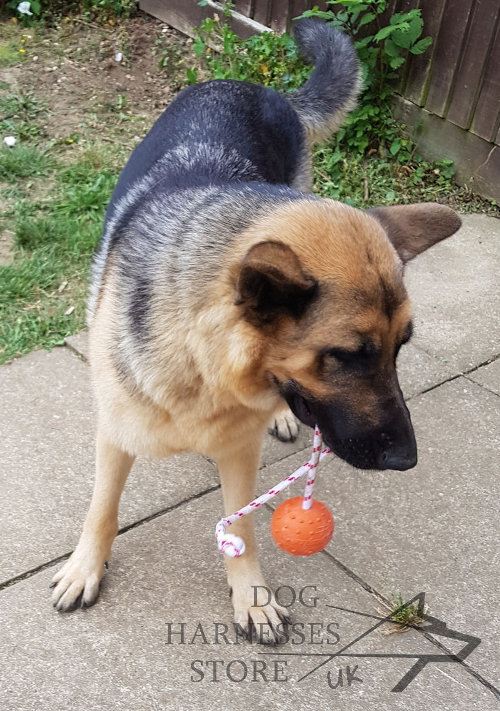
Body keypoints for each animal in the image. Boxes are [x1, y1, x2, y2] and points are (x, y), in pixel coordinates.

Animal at [50, 19, 460, 644]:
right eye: (346, 355)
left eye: (400, 348)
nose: (406, 460)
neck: (201, 360)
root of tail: (255, 87)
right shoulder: (116, 434)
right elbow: (103, 508)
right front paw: (84, 568)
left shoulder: (237, 452)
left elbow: (240, 527)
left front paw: (252, 596)